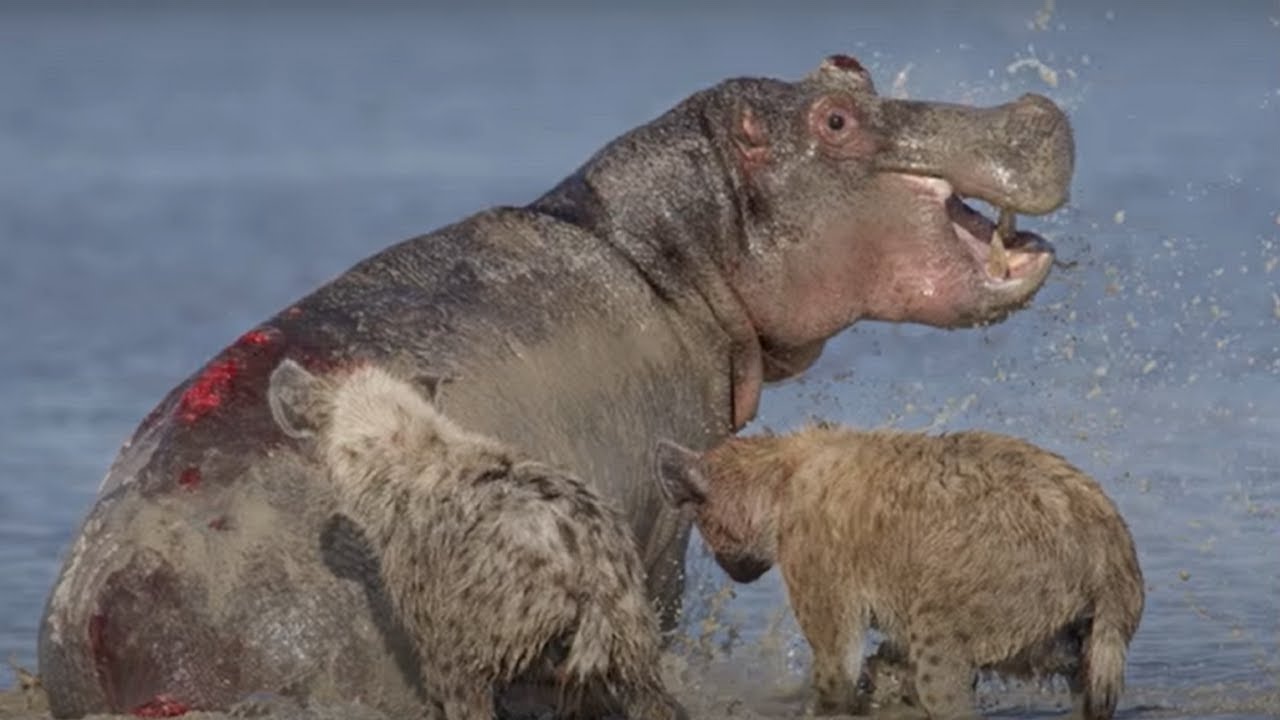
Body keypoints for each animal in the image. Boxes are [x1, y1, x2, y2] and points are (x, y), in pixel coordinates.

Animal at [37, 55, 1074, 718]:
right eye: (836, 123)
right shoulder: (656, 531)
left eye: (848, 71)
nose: (1033, 110)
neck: (664, 250)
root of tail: (101, 613)